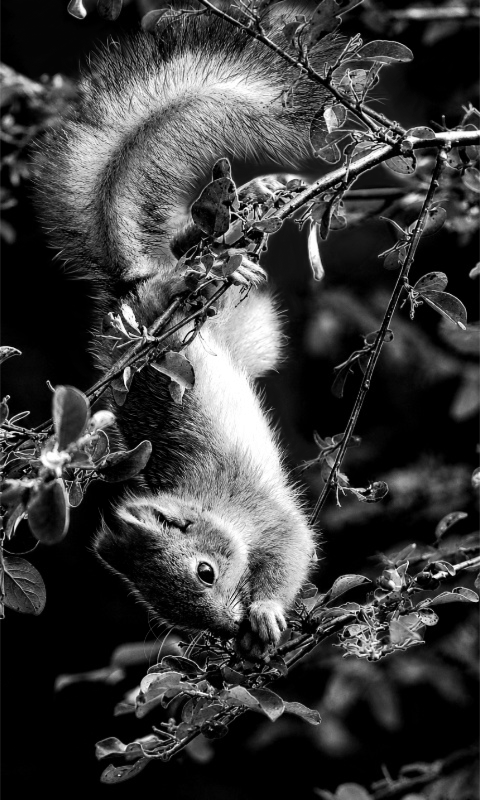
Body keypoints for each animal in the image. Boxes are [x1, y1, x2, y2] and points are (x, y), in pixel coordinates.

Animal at [35, 7, 340, 656]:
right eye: (171, 616)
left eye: (204, 571)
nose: (224, 627)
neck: (211, 505)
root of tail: (126, 288)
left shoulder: (266, 512)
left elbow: (293, 548)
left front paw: (266, 611)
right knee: (190, 249)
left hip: (175, 320)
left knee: (177, 273)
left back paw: (237, 221)